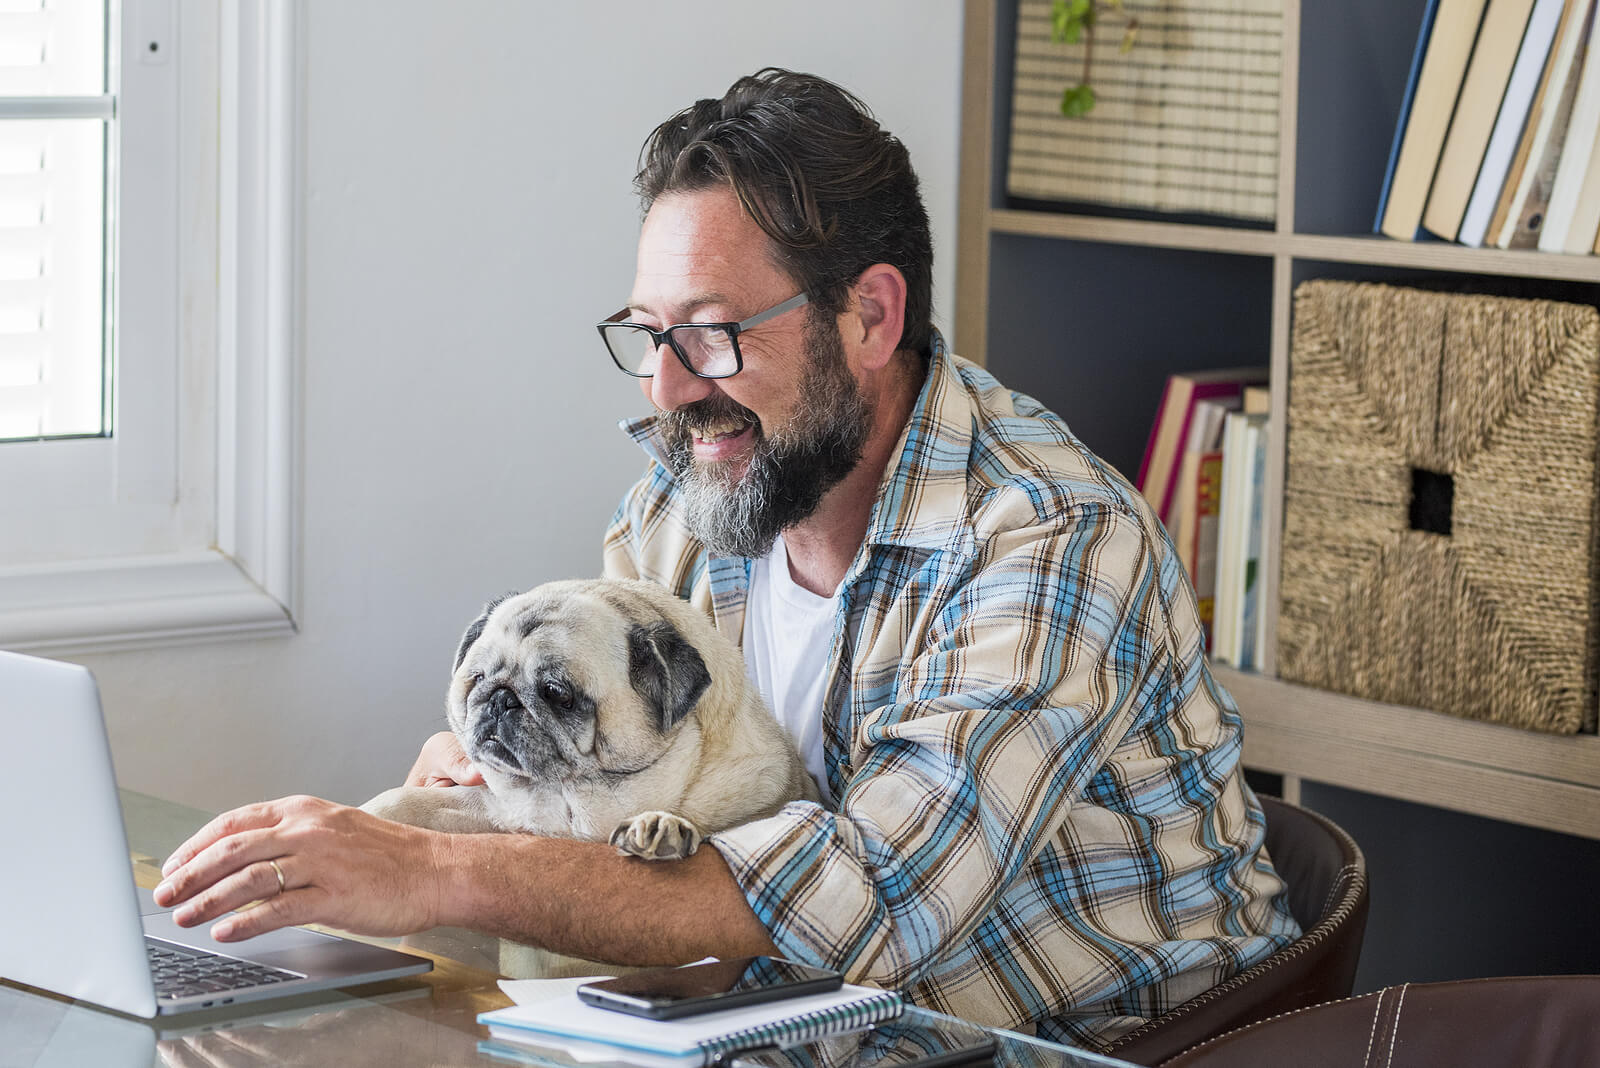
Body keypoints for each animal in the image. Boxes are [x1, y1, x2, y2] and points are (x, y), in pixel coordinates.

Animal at [360, 575, 812, 856]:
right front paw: (366, 816)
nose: (501, 699)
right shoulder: (494, 807)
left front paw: (660, 825)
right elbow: (407, 802)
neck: (571, 801)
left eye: (556, 693)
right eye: (478, 678)